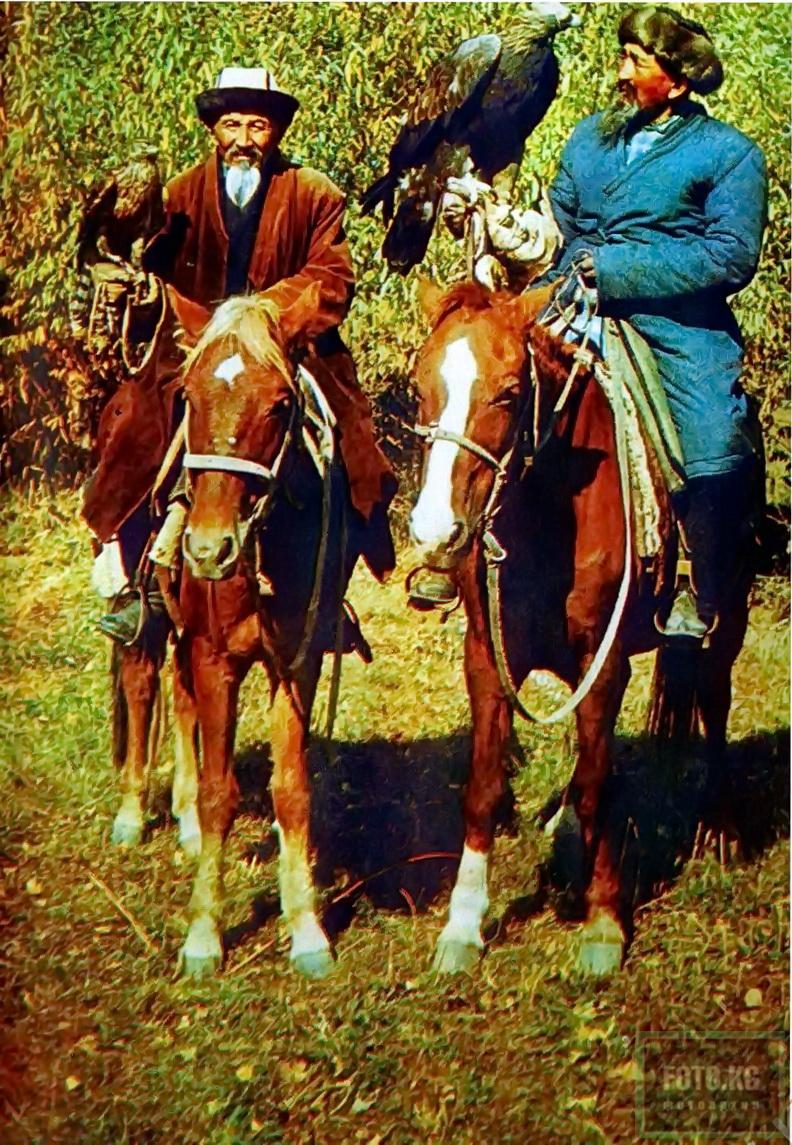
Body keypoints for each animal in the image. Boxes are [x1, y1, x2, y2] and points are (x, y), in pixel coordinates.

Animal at [407, 280, 757, 976]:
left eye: (508, 392)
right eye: (420, 386)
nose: (435, 532)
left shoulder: (604, 660)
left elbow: (599, 785)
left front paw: (602, 924)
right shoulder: (487, 658)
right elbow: (484, 786)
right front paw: (462, 926)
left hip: (725, 623)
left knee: (713, 704)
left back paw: (723, 829)